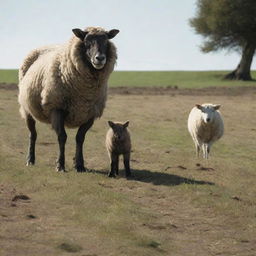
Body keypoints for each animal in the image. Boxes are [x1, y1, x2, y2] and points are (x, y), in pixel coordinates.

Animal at [18, 26, 120, 172]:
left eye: (106, 41)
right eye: (87, 41)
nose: (100, 58)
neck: (86, 92)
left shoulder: (90, 114)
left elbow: (80, 138)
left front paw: (80, 165)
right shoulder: (57, 108)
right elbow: (62, 137)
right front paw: (60, 165)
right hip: (27, 109)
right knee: (33, 134)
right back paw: (30, 160)